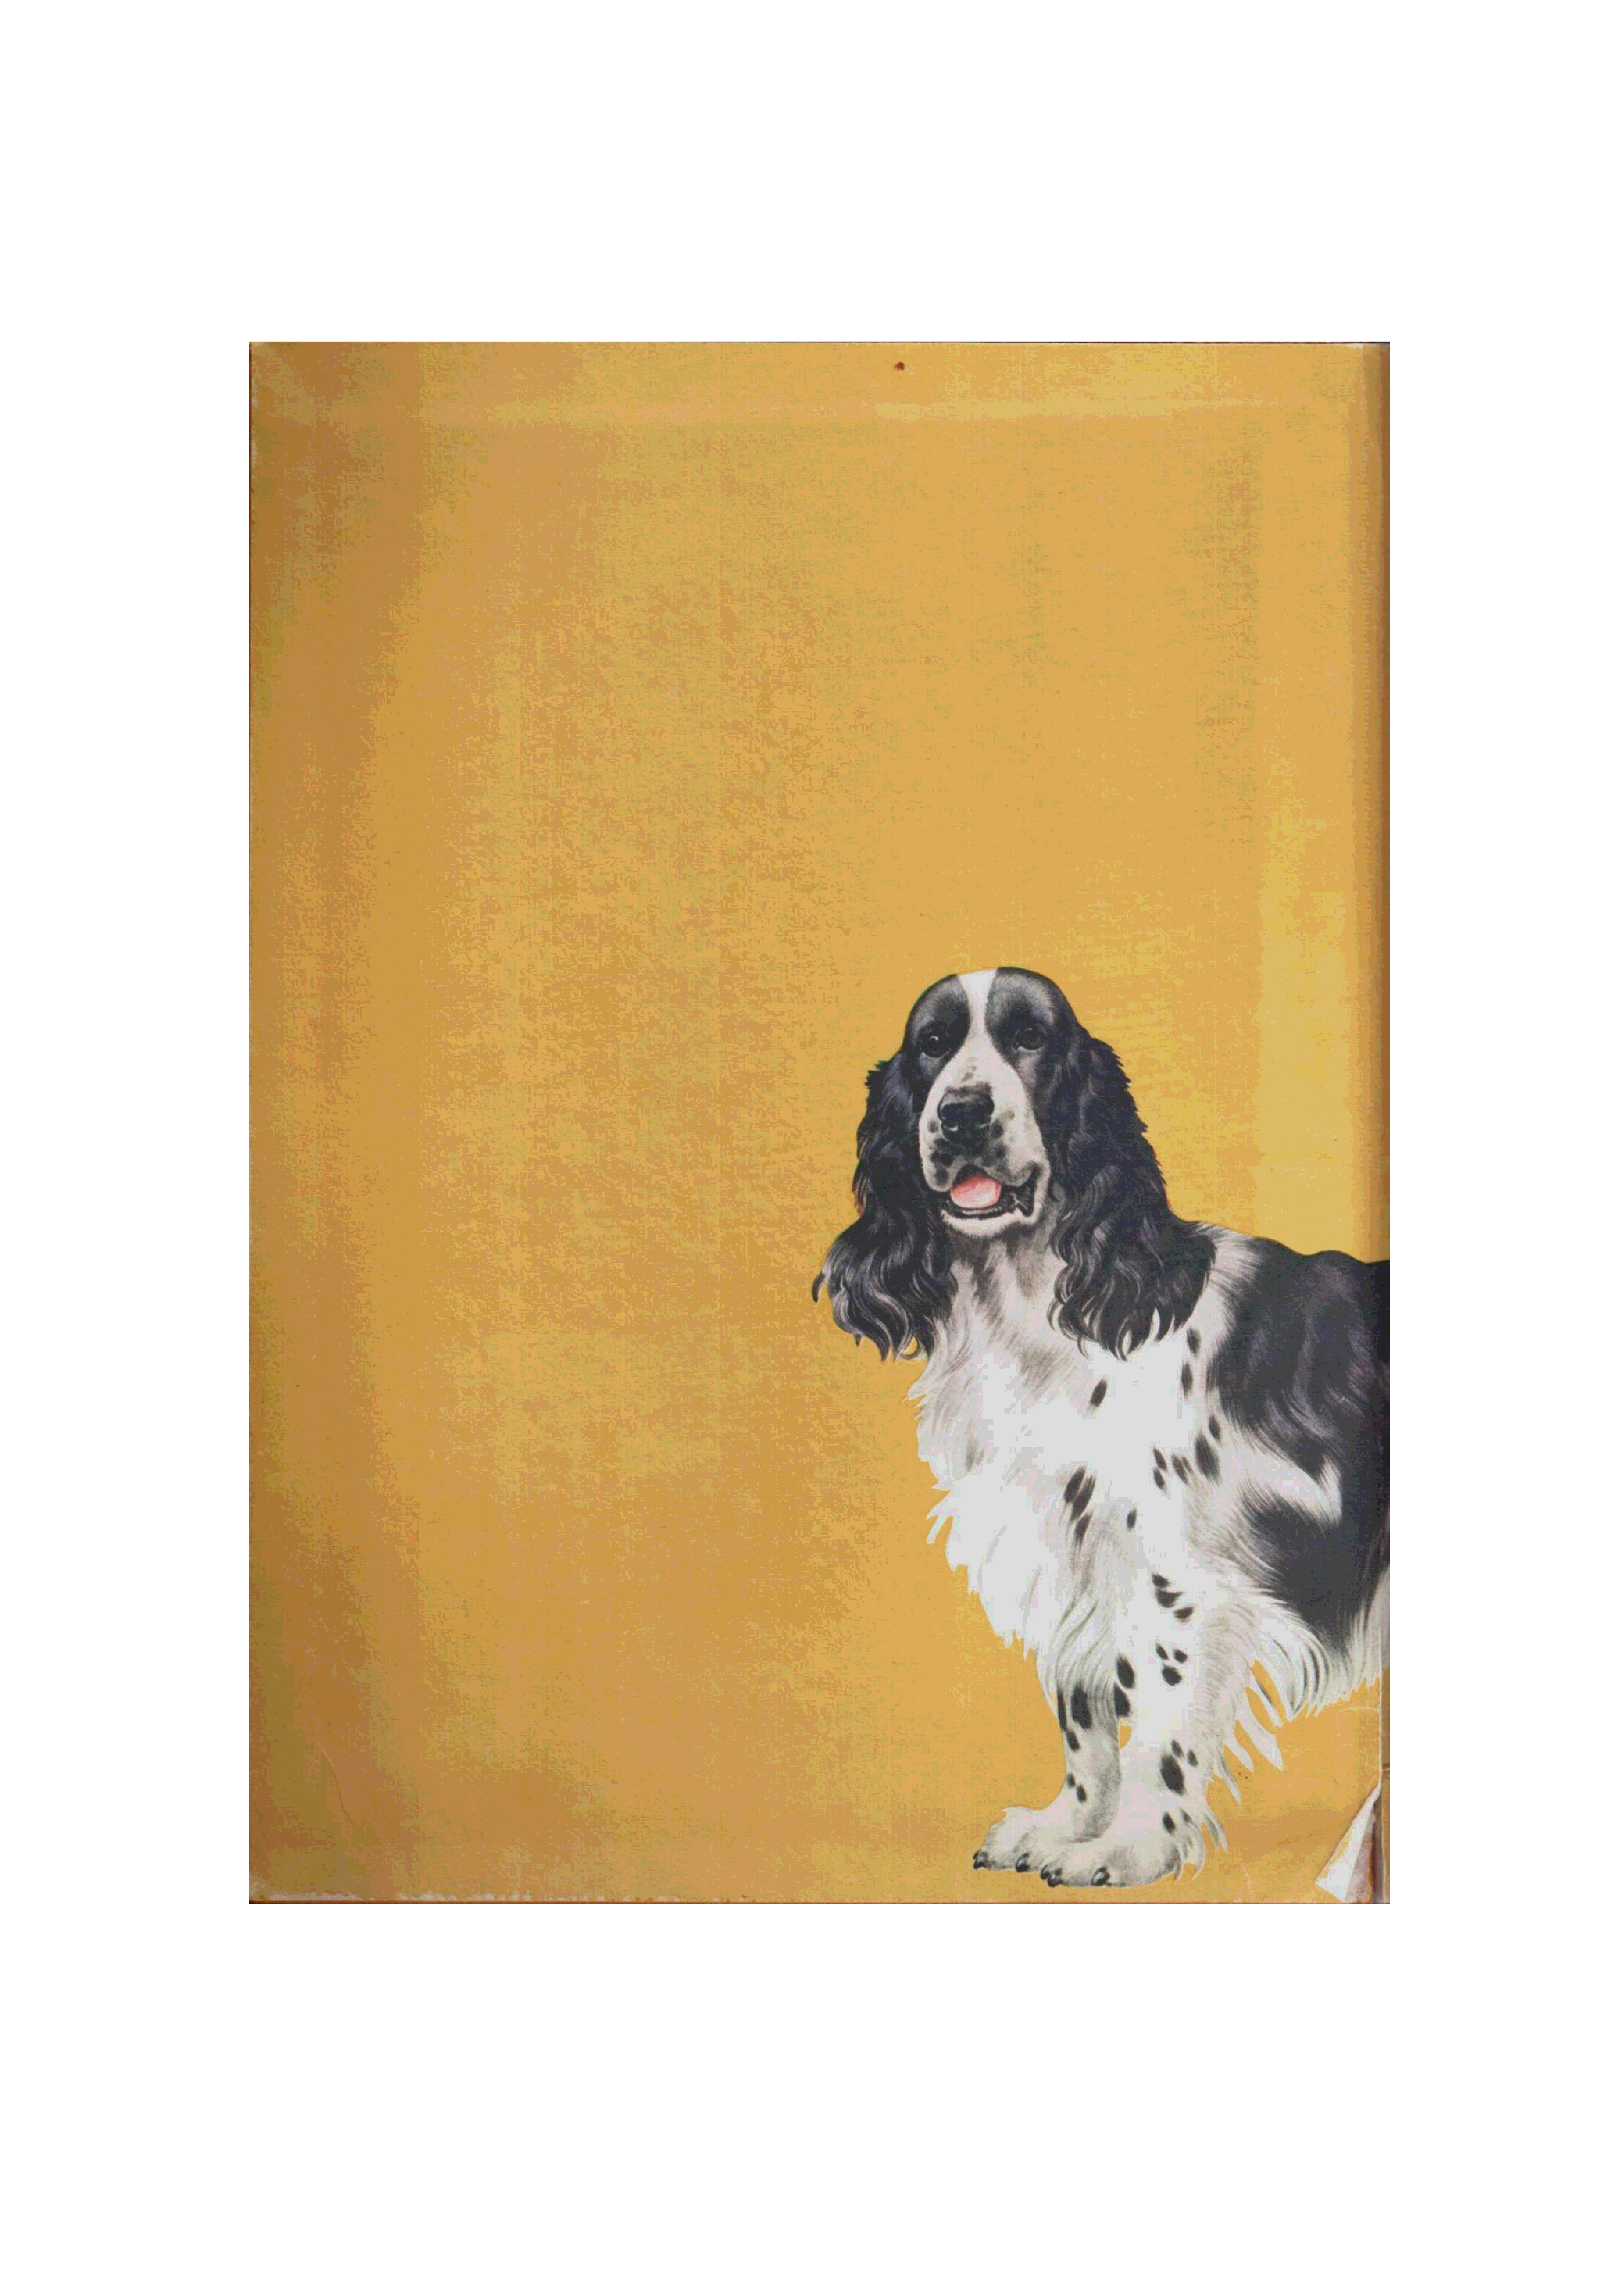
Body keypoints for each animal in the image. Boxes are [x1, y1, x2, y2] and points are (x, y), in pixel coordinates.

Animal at [814, 967, 1388, 1890]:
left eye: (1030, 1038)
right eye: (931, 1045)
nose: (962, 1113)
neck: (1034, 1309)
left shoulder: (1170, 1577)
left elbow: (1155, 1730)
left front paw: (1128, 1848)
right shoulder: (1066, 1552)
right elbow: (1083, 1721)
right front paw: (1064, 1828)